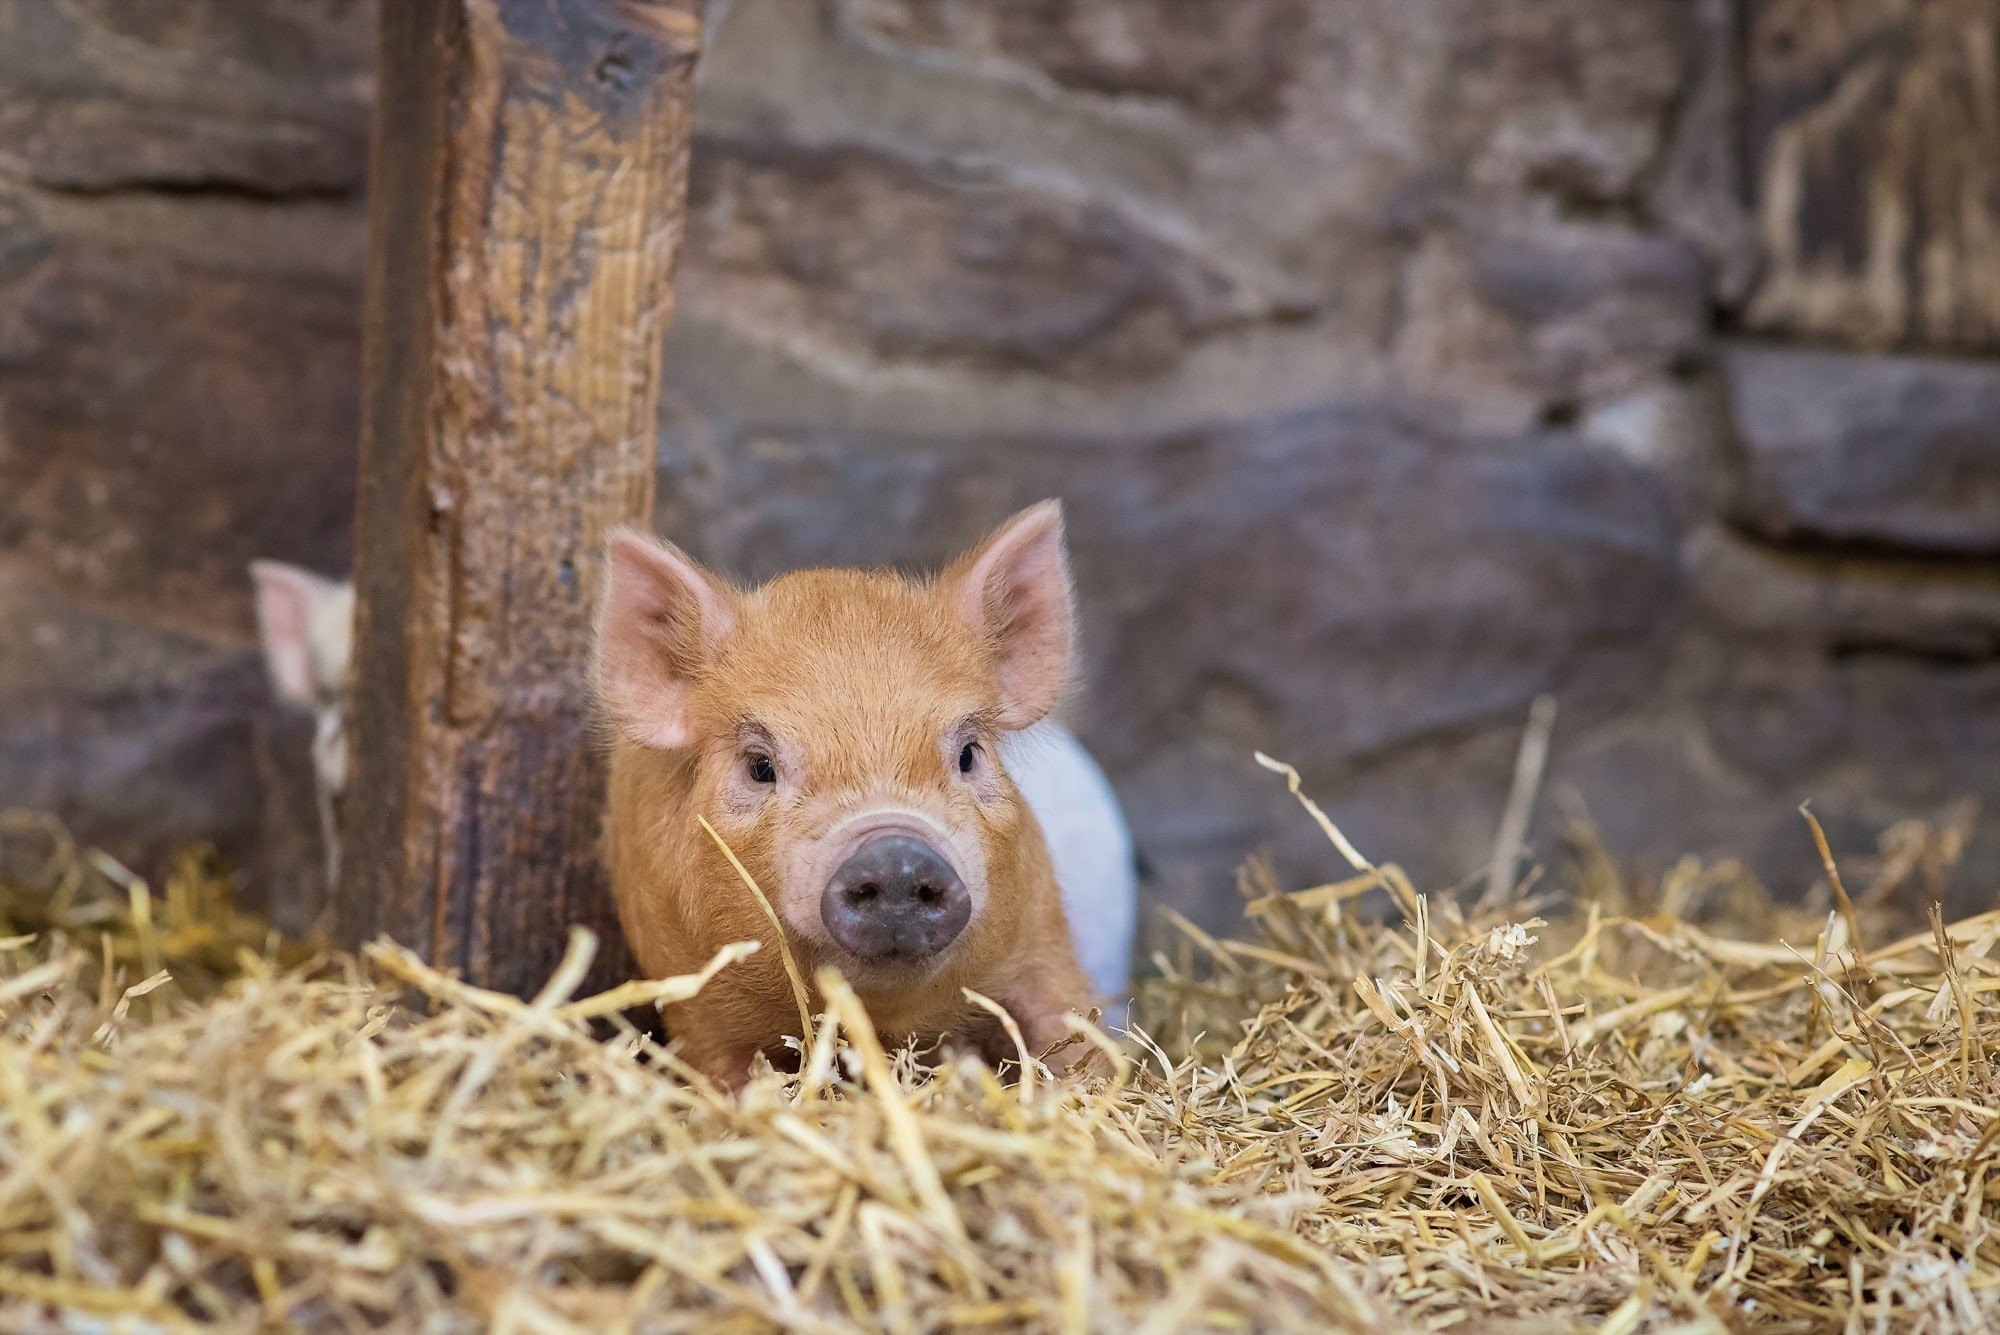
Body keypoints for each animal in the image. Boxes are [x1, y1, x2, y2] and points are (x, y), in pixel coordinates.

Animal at [595, 501, 1117, 1085]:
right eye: (759, 767)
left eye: (969, 753)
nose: (896, 853)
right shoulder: (695, 999)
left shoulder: (1041, 930)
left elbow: (1069, 1030)